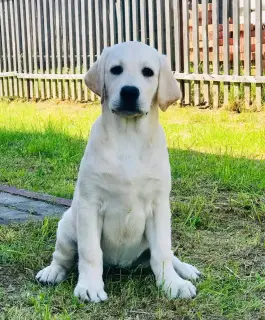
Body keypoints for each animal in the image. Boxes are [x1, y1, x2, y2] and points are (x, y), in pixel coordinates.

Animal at [35, 41, 200, 302]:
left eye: (148, 72)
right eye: (115, 70)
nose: (129, 92)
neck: (129, 137)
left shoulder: (159, 206)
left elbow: (162, 252)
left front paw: (172, 283)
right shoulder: (90, 205)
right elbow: (90, 252)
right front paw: (90, 286)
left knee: (168, 253)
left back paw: (184, 269)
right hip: (68, 225)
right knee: (63, 257)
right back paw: (52, 272)